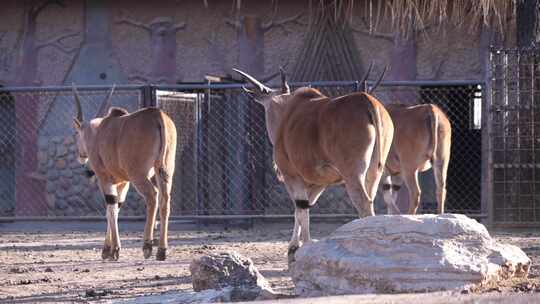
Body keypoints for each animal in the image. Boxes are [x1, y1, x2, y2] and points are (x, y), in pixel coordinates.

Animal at [71, 85, 177, 262]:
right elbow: (115, 208)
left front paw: (113, 250)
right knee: (165, 200)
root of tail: (157, 115)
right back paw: (162, 250)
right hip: (165, 170)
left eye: (77, 133)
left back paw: (147, 246)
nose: (81, 156)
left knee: (152, 196)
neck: (99, 132)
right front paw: (107, 249)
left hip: (139, 176)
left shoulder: (105, 179)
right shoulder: (123, 183)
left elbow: (111, 210)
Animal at [234, 67, 394, 262]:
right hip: (374, 172)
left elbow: (300, 208)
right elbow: (305, 207)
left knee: (363, 202)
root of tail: (367, 101)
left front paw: (298, 247)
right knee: (370, 199)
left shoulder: (291, 175)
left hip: (353, 175)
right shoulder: (320, 183)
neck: (288, 110)